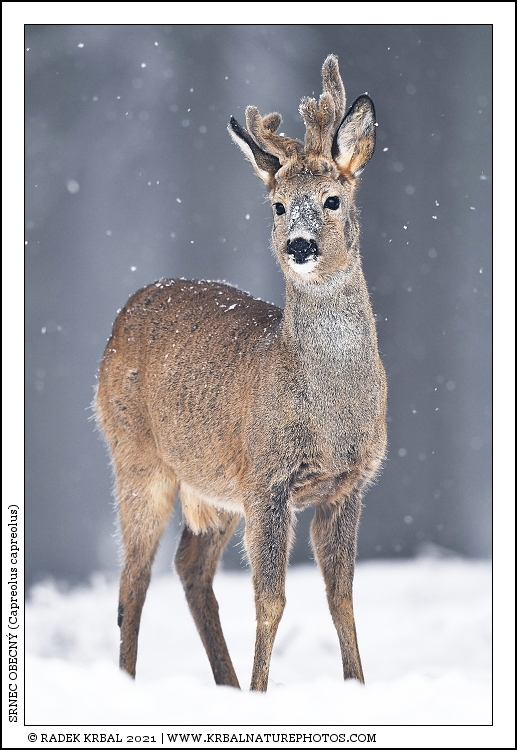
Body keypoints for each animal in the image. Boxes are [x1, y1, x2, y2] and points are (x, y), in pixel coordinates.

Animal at [95, 54, 387, 692]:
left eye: (333, 199)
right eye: (278, 206)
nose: (299, 245)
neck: (329, 414)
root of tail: (124, 312)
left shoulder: (347, 484)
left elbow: (342, 598)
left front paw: (357, 687)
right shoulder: (267, 478)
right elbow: (271, 600)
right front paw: (262, 691)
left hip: (214, 487)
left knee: (188, 566)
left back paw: (224, 685)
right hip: (137, 455)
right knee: (133, 581)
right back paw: (132, 683)